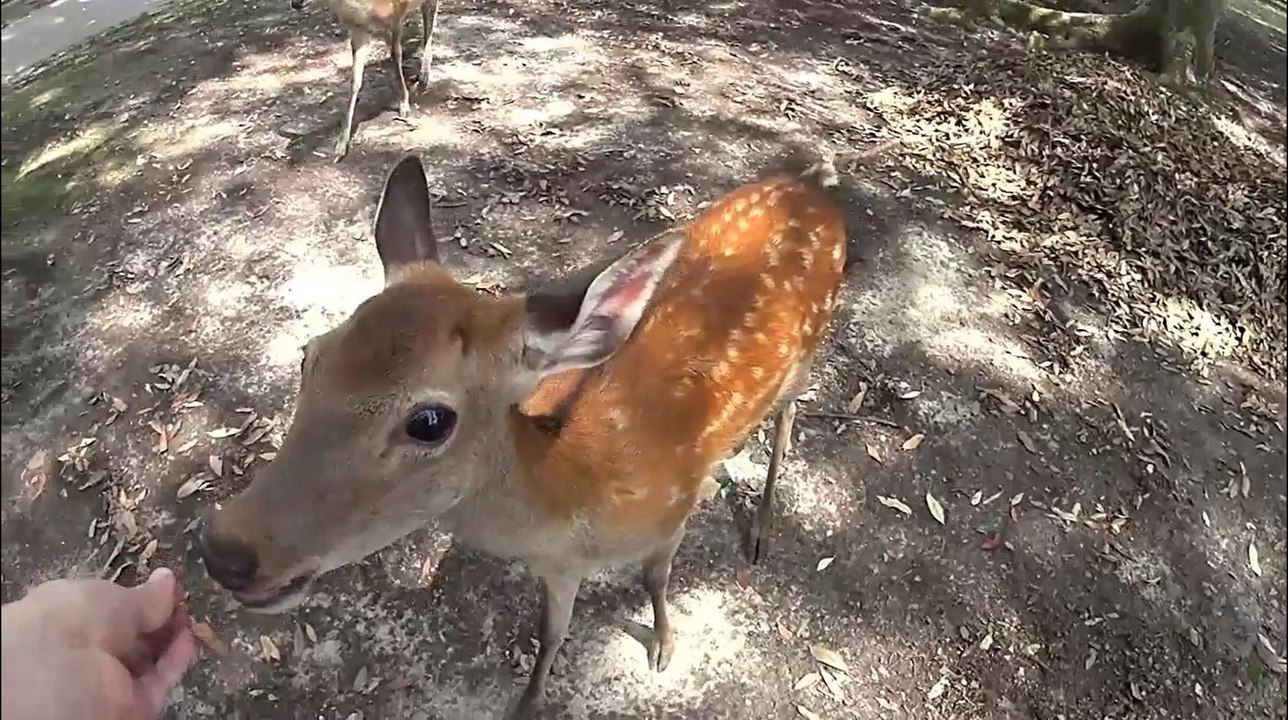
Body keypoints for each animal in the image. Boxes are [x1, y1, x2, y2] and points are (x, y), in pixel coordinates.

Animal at [195, 152, 848, 718]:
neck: (574, 492)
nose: (224, 551)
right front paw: (529, 702)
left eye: (430, 420)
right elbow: (551, 630)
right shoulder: (558, 566)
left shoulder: (674, 509)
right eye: (310, 357)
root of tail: (814, 187)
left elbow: (655, 578)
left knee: (789, 420)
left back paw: (762, 529)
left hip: (809, 350)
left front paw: (663, 645)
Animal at [290, 0, 444, 160]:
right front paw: (341, 146)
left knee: (430, 9)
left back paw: (424, 76)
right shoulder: (359, 28)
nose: (295, 4)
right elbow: (355, 80)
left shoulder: (397, 12)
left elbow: (395, 53)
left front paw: (404, 104)